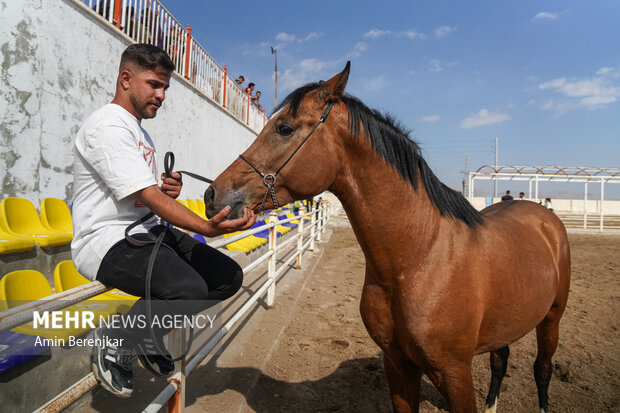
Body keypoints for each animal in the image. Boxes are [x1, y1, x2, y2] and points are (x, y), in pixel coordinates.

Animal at [205, 62, 572, 412]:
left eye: (284, 128)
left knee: (542, 369)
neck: (419, 258)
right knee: (500, 361)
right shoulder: (398, 365)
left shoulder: (455, 373)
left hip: (551, 319)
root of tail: (543, 217)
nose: (212, 195)